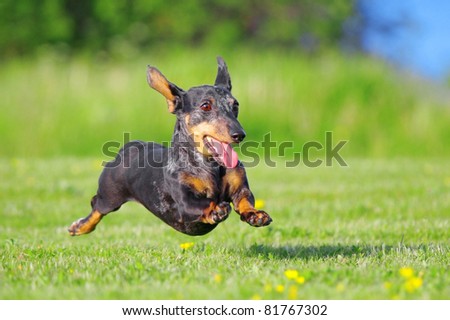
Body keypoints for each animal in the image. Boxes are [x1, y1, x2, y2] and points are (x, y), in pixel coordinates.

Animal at [68, 57, 272, 236]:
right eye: (206, 106)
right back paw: (80, 226)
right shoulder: (184, 202)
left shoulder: (241, 190)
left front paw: (255, 214)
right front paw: (216, 210)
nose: (239, 135)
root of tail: (129, 148)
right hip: (110, 196)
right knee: (96, 205)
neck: (210, 166)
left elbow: (245, 200)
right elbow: (204, 204)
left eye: (235, 105)